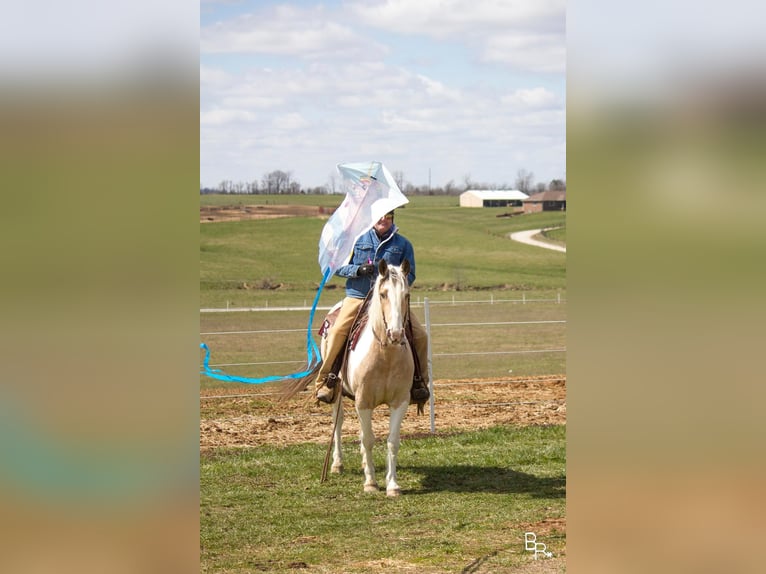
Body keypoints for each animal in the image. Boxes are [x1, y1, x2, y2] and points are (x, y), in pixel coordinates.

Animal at [328, 260, 414, 500]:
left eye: (406, 294)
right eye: (383, 294)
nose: (396, 334)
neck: (386, 356)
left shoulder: (400, 402)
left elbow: (392, 441)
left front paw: (392, 485)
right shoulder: (363, 401)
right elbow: (368, 439)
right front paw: (371, 483)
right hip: (337, 394)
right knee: (338, 423)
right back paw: (337, 464)